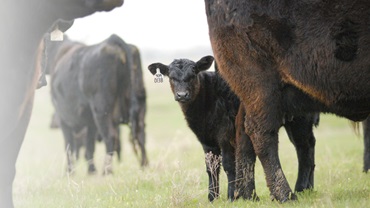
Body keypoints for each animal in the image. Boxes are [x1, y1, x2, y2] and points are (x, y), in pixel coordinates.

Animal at [149, 55, 320, 202]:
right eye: (171, 77)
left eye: (193, 73)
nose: (182, 95)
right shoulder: (206, 140)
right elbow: (211, 168)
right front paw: (212, 198)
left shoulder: (225, 135)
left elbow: (229, 165)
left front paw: (232, 196)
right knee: (308, 145)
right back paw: (309, 188)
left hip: (300, 120)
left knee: (304, 148)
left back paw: (300, 188)